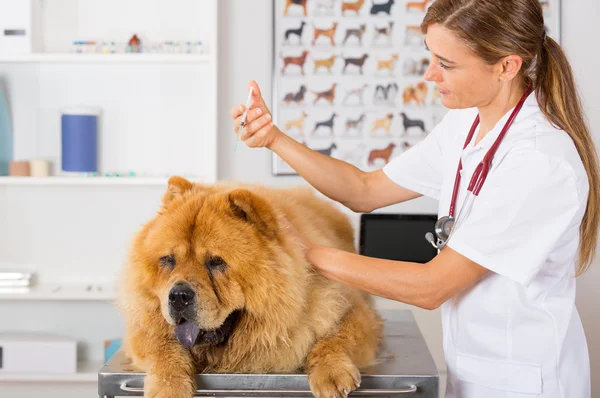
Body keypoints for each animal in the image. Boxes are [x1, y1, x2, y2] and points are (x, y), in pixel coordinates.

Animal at [118, 177, 382, 398]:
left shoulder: (351, 306)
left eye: (216, 262)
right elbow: (162, 347)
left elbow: (336, 337)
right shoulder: (144, 324)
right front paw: (168, 386)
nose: (179, 295)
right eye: (168, 260)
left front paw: (332, 373)